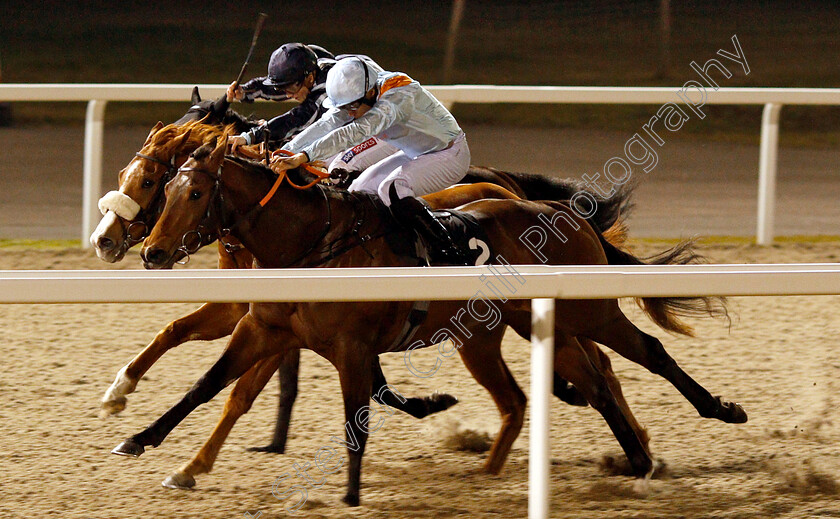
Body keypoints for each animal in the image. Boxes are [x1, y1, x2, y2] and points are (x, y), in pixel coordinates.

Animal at [115, 139, 744, 508]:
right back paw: (627, 458)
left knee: (647, 351)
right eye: (165, 186)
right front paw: (144, 441)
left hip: (588, 308)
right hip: (521, 327)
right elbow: (206, 385)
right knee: (583, 383)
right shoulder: (265, 329)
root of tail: (565, 211)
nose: (150, 252)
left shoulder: (349, 343)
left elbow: (354, 416)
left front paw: (350, 495)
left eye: (193, 190)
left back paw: (715, 412)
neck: (310, 241)